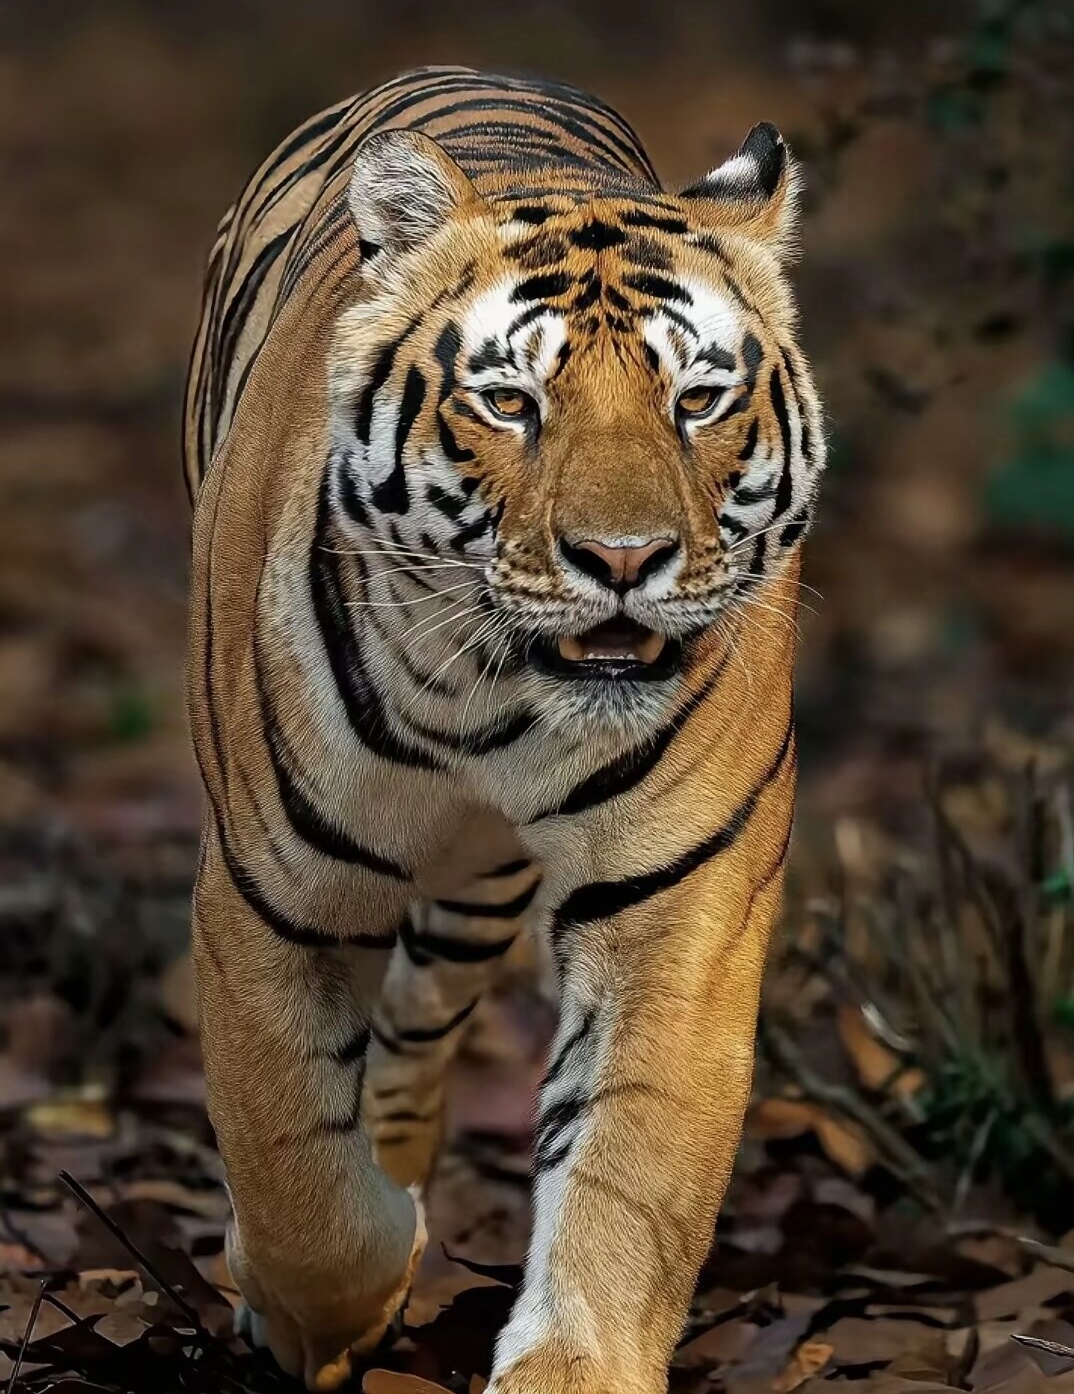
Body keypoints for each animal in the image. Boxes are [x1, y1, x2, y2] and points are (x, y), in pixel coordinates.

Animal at [184, 65, 820, 1394]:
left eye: (698, 400)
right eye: (510, 403)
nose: (624, 560)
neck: (490, 696)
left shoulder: (674, 905)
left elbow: (627, 1169)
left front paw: (570, 1356)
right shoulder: (271, 897)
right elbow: (292, 1162)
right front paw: (310, 1298)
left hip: (475, 893)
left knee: (411, 1048)